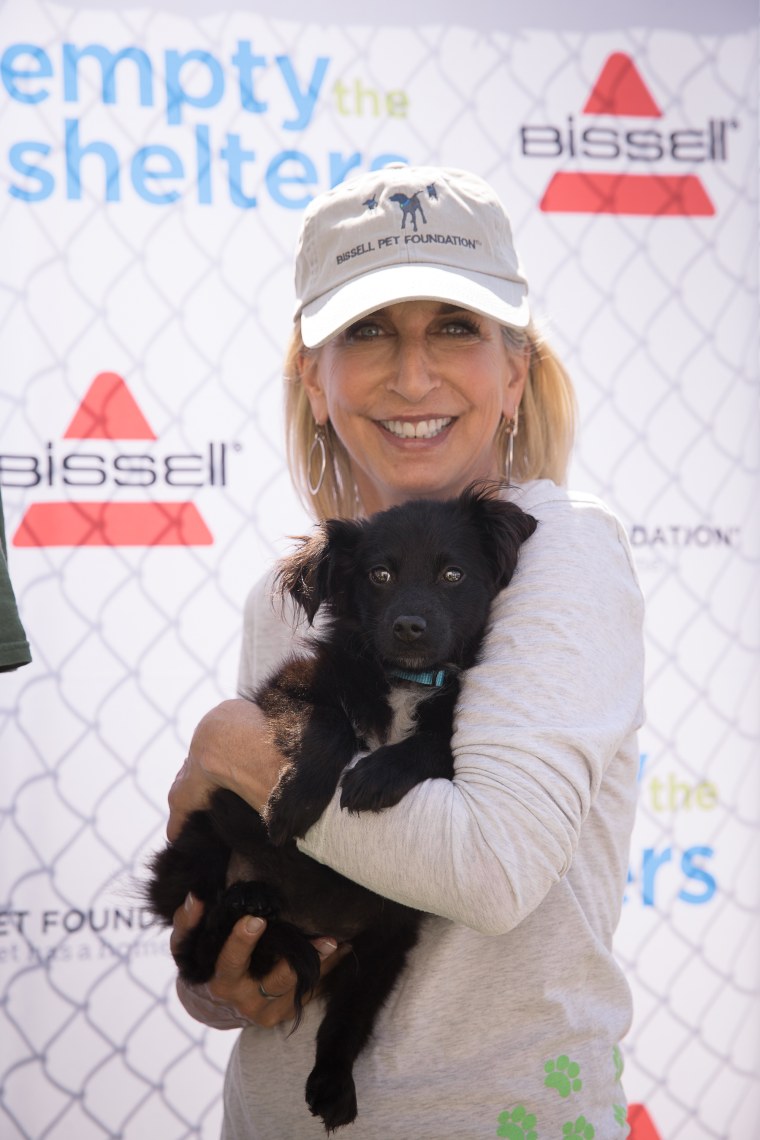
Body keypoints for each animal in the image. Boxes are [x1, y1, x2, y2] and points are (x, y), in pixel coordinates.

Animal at [145, 487, 537, 1130]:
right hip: (200, 840)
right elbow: (327, 724)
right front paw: (295, 799)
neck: (405, 681)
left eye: (453, 574)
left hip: (384, 945)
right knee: (196, 951)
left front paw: (375, 775)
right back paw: (246, 901)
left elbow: (435, 744)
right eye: (380, 575)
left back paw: (331, 1084)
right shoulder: (289, 691)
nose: (409, 626)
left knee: (346, 1020)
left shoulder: (455, 736)